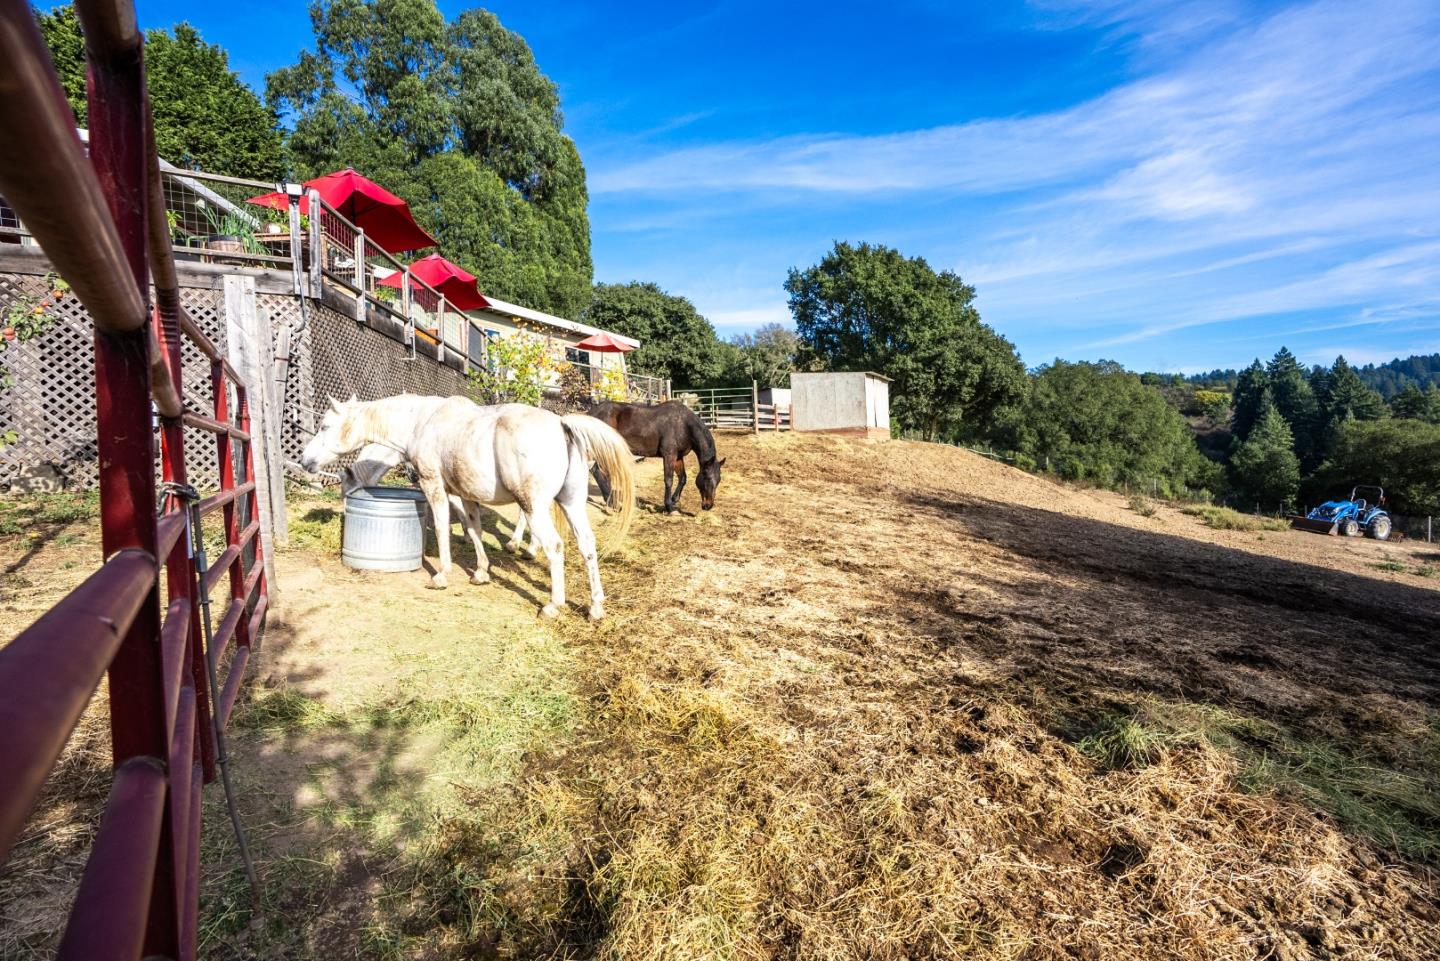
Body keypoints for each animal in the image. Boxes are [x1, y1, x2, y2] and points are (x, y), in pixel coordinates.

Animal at [300, 394, 633, 619]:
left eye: (325, 426)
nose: (306, 461)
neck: (421, 422)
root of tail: (562, 424)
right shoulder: (467, 494)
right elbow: (473, 529)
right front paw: (481, 572)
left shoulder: (434, 486)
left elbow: (443, 527)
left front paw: (442, 575)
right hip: (571, 502)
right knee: (587, 545)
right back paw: (596, 607)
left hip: (534, 506)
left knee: (555, 546)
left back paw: (552, 604)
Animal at [587, 400, 725, 515]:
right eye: (707, 477)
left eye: (718, 480)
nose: (708, 505)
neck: (683, 425)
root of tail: (591, 413)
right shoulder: (669, 455)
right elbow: (668, 480)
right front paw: (669, 507)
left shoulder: (678, 457)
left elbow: (683, 478)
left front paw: (674, 500)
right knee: (596, 471)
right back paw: (612, 503)